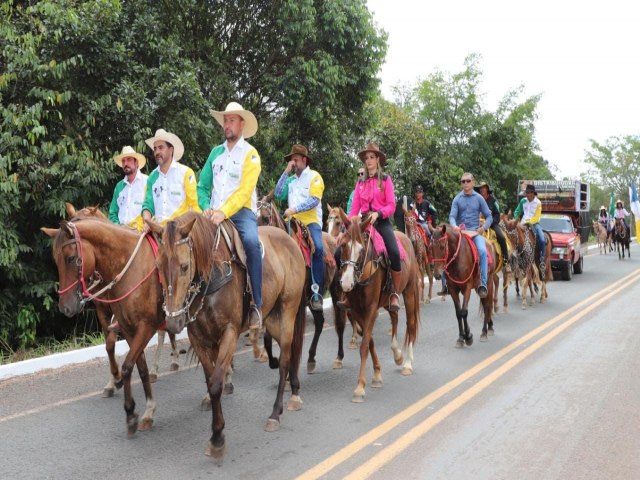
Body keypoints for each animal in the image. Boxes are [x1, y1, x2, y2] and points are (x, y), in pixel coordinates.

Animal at [40, 214, 165, 436]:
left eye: (70, 259)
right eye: (55, 261)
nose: (65, 307)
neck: (130, 269)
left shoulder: (147, 326)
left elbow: (127, 366)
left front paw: (130, 411)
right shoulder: (127, 327)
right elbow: (136, 366)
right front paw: (146, 410)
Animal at [146, 214, 306, 462]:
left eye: (184, 266)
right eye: (158, 266)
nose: (173, 322)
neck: (212, 276)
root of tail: (290, 241)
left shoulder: (229, 333)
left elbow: (215, 384)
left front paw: (217, 437)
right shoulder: (200, 339)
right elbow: (211, 380)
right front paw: (216, 432)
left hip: (288, 313)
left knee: (285, 360)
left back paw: (275, 413)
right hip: (272, 318)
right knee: (288, 355)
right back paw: (295, 390)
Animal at [336, 212, 420, 404]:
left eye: (361, 249)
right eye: (343, 245)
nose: (346, 283)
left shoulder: (371, 309)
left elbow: (364, 346)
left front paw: (360, 388)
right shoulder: (357, 310)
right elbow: (370, 341)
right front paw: (377, 375)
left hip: (409, 292)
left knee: (411, 325)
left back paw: (408, 363)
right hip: (389, 301)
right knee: (395, 317)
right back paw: (397, 354)